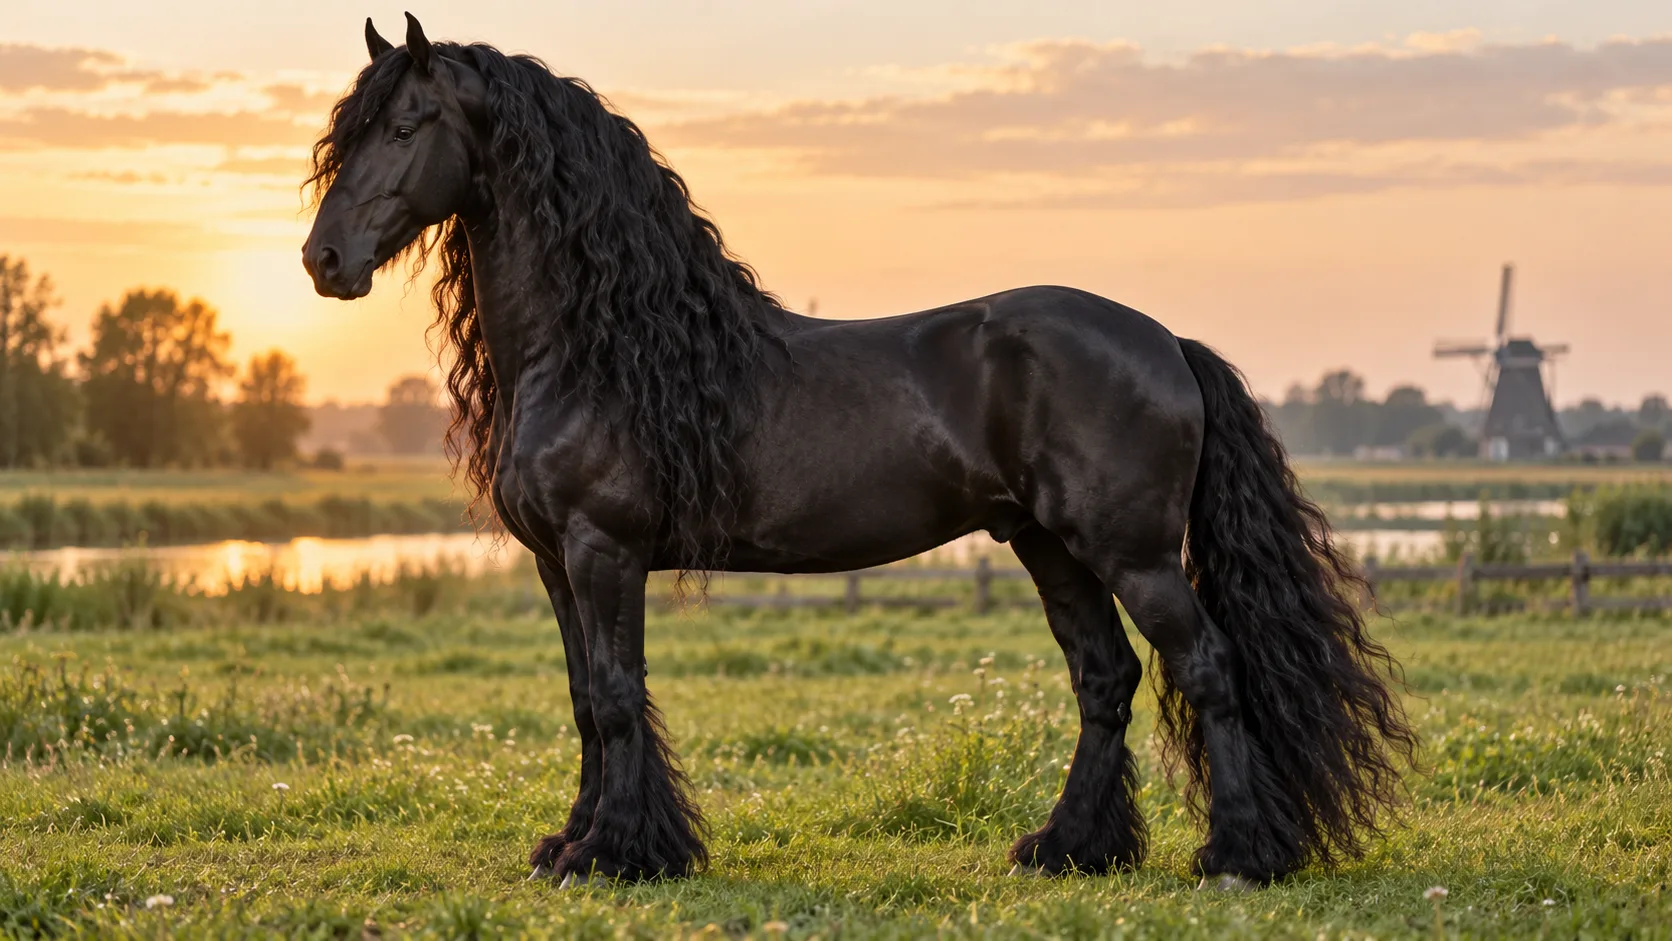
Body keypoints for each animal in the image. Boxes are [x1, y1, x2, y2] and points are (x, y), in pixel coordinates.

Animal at [303, 14, 1417, 890]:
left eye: (403, 127)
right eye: (344, 138)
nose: (324, 261)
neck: (601, 349)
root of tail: (1166, 342)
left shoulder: (602, 549)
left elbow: (617, 698)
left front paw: (618, 853)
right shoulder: (554, 563)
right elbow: (585, 701)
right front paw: (574, 844)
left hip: (1130, 551)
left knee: (1207, 665)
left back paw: (1238, 855)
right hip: (1047, 545)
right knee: (1104, 679)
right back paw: (1067, 847)